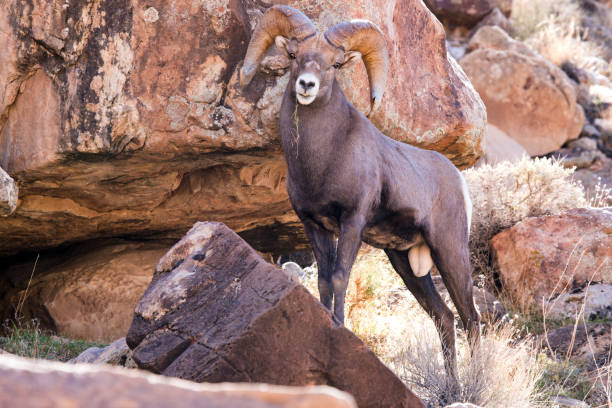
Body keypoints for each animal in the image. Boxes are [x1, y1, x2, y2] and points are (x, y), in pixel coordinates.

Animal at [241, 5, 480, 376]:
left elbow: (340, 277)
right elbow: (324, 280)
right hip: (404, 262)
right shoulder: (315, 225)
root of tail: (458, 180)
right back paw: (453, 384)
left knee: (471, 318)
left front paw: (338, 327)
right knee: (443, 317)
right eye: (294, 55)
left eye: (335, 64)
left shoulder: (352, 221)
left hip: (450, 251)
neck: (323, 158)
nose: (306, 85)